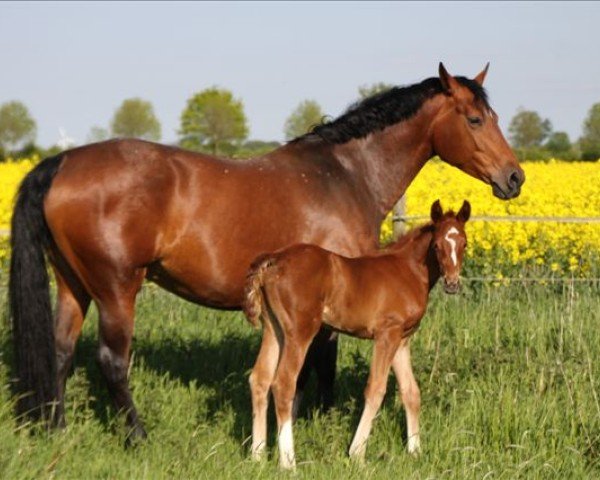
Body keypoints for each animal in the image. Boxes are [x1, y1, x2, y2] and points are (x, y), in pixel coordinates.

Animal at [246, 199, 472, 468]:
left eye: (464, 244)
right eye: (436, 245)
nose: (452, 284)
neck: (407, 270)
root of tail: (274, 260)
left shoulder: (402, 340)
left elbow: (411, 392)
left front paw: (415, 451)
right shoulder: (387, 335)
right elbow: (376, 389)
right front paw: (357, 453)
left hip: (274, 330)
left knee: (259, 379)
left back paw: (258, 456)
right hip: (299, 332)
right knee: (283, 384)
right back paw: (289, 462)